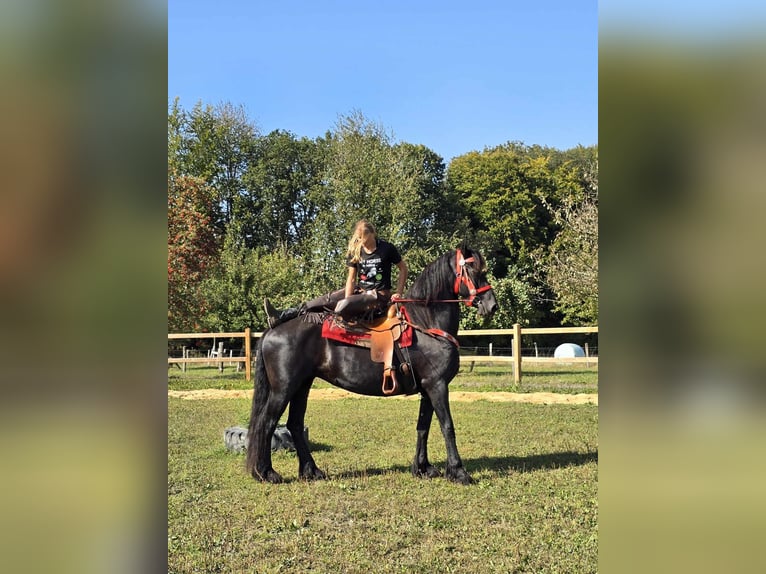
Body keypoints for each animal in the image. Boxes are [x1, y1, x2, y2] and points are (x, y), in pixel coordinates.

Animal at [244, 244, 498, 486]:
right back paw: (266, 472)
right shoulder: (437, 385)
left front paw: (423, 468)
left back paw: (311, 471)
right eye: (474, 270)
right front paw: (459, 472)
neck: (425, 323)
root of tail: (273, 330)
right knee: (266, 423)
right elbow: (447, 426)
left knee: (295, 424)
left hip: (302, 385)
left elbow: (423, 426)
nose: (492, 305)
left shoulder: (427, 388)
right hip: (284, 388)